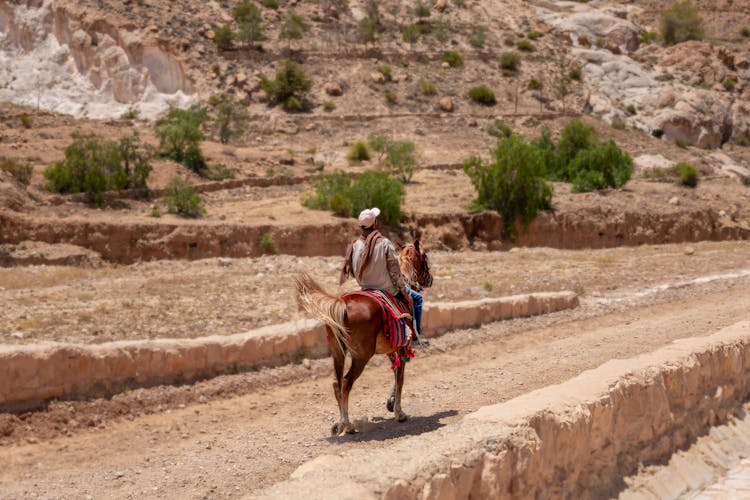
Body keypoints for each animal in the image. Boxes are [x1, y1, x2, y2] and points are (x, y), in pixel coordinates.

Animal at [296, 241, 432, 434]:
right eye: (425, 259)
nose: (430, 280)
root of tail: (342, 303)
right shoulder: (402, 347)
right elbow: (400, 378)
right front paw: (399, 412)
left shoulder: (391, 349)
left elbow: (395, 372)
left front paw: (391, 403)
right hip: (361, 356)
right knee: (346, 382)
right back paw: (347, 424)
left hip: (338, 352)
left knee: (337, 383)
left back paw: (340, 423)